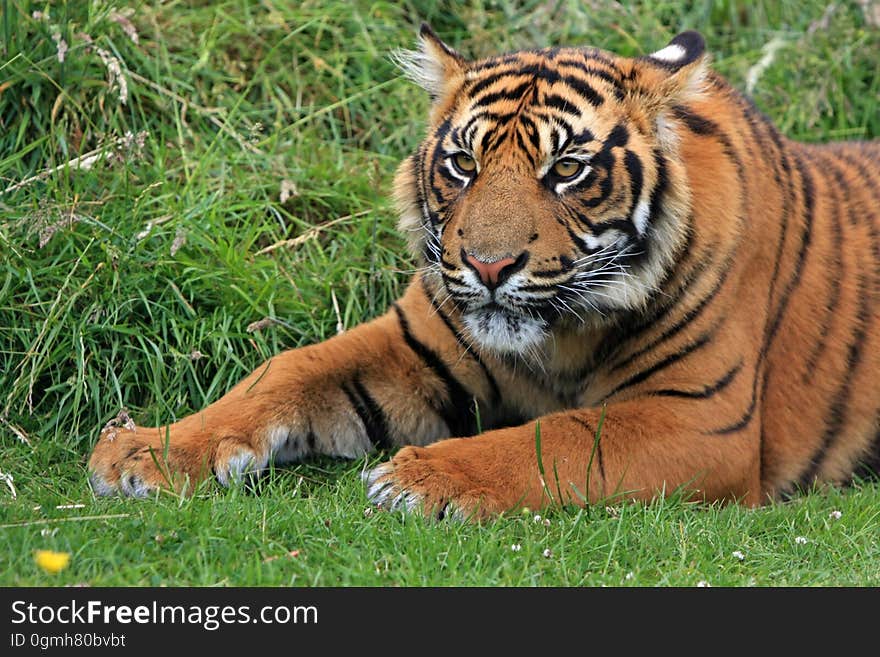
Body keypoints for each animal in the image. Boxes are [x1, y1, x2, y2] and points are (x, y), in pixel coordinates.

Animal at [87, 24, 880, 516]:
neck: (559, 338)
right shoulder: (412, 343)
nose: (489, 265)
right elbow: (284, 371)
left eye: (566, 169)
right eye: (464, 163)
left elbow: (558, 437)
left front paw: (422, 476)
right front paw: (144, 451)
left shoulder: (700, 416)